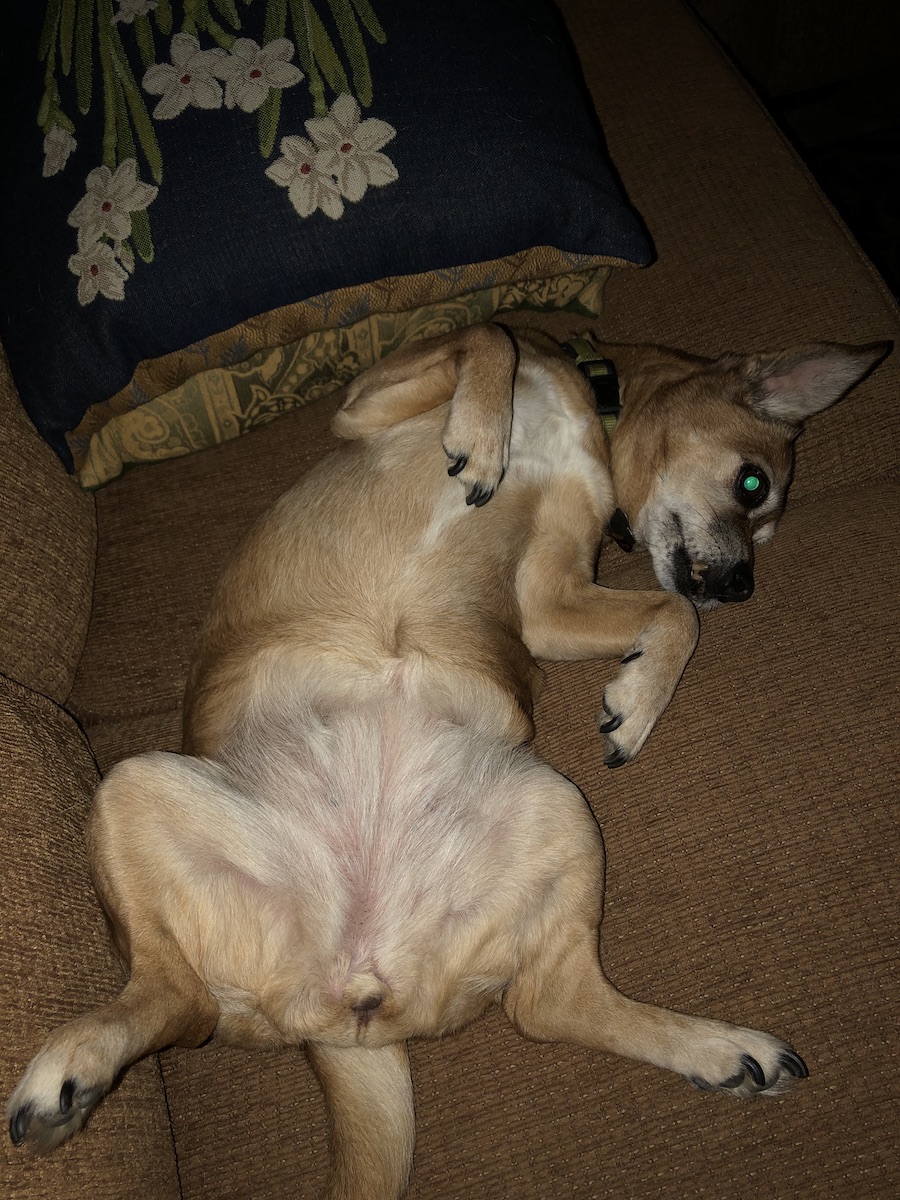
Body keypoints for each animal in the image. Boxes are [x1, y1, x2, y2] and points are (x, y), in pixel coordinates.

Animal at [7, 324, 888, 1195]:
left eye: (763, 515)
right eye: (751, 484)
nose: (739, 586)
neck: (592, 403)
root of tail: (351, 992)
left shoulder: (547, 594)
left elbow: (672, 613)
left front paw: (638, 702)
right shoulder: (370, 406)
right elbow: (485, 339)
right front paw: (481, 440)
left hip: (557, 809)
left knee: (544, 1006)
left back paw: (725, 1053)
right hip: (131, 786)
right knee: (176, 995)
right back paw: (72, 1070)